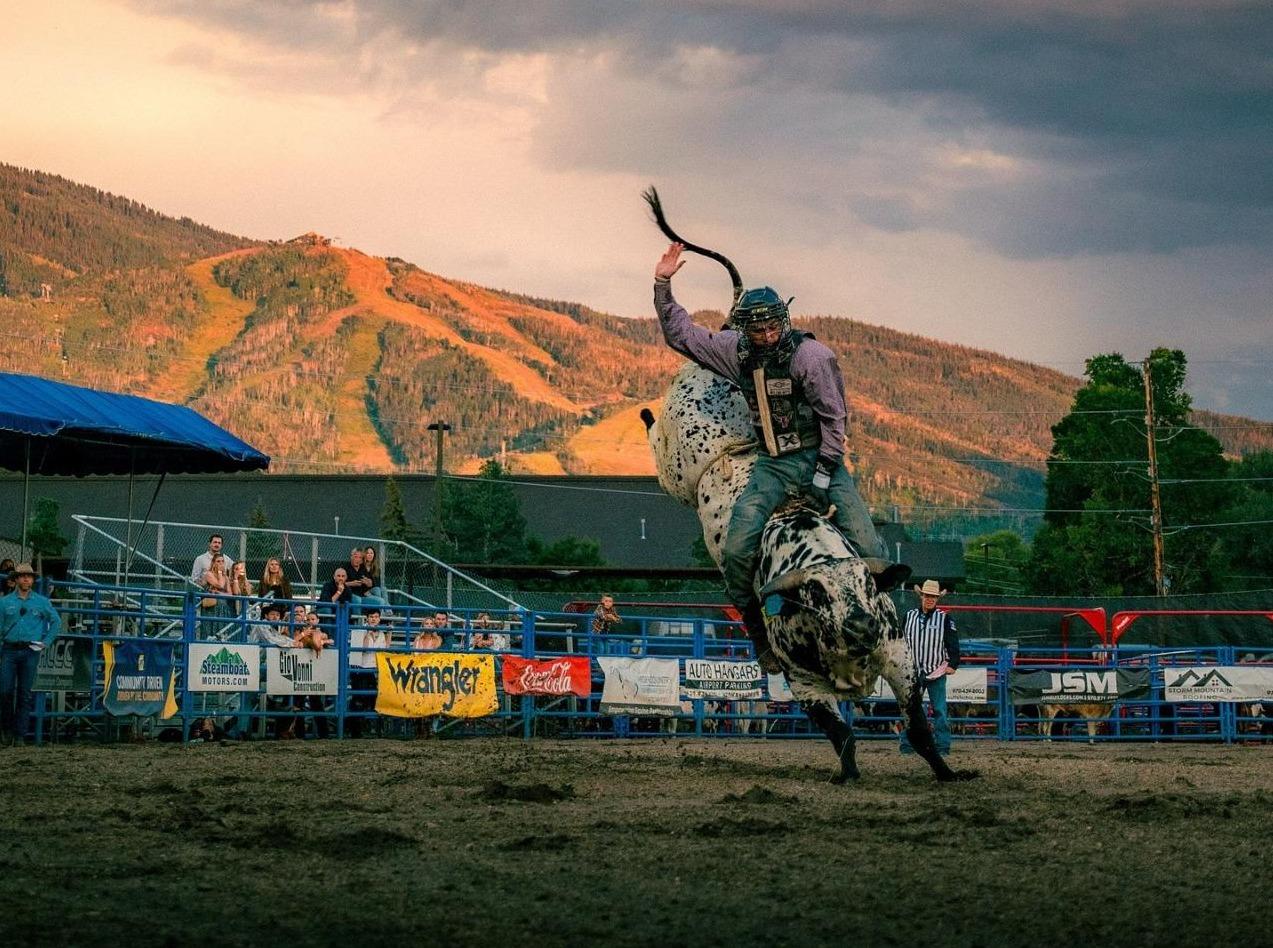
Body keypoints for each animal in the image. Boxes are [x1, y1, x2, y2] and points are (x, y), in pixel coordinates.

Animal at [643, 364, 976, 783]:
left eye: (869, 585)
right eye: (816, 594)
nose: (862, 626)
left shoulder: (900, 658)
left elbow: (917, 727)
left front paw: (948, 772)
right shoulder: (803, 685)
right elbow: (841, 732)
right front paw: (846, 774)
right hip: (672, 466)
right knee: (653, 432)